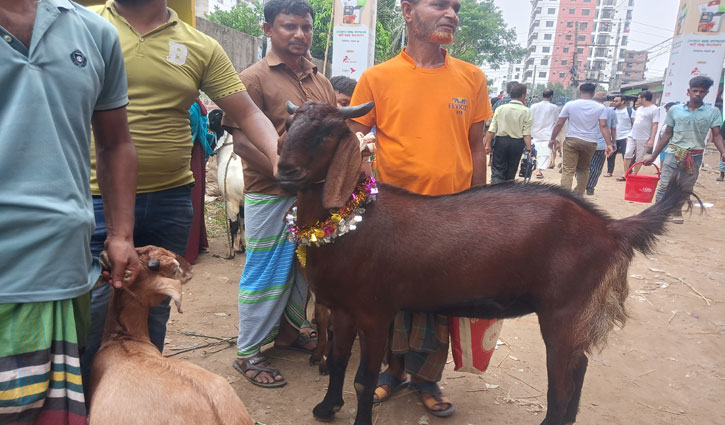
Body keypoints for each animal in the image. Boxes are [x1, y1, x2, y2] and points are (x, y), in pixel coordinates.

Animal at [274, 102, 692, 424]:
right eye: (290, 126)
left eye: (329, 132)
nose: (285, 172)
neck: (349, 220)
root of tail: (610, 227)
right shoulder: (341, 307)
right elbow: (338, 360)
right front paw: (326, 407)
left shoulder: (375, 312)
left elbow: (362, 378)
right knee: (578, 367)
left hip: (564, 310)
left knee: (565, 378)